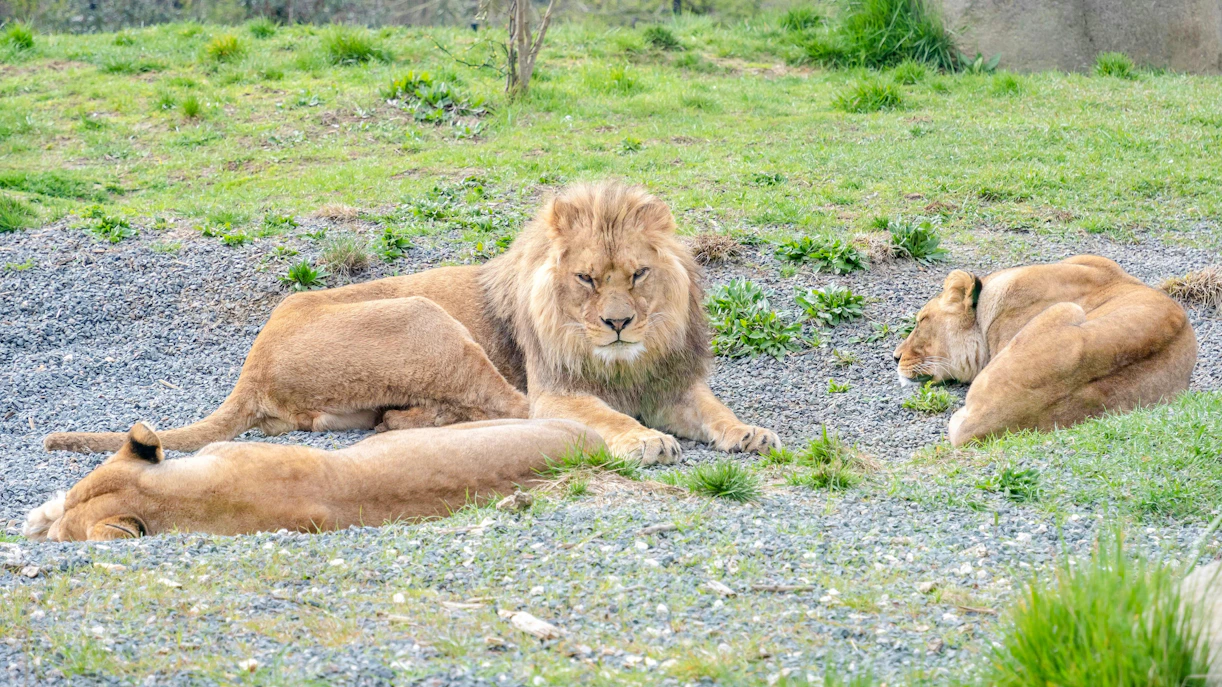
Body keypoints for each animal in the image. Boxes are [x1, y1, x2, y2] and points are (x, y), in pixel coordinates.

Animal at [44, 181, 778, 465]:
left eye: (639, 275)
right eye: (588, 279)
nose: (620, 324)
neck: (622, 361)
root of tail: (252, 362)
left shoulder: (670, 381)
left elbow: (714, 408)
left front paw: (750, 432)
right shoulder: (557, 385)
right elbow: (597, 411)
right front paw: (643, 439)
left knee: (404, 417)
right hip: (424, 315)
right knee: (506, 408)